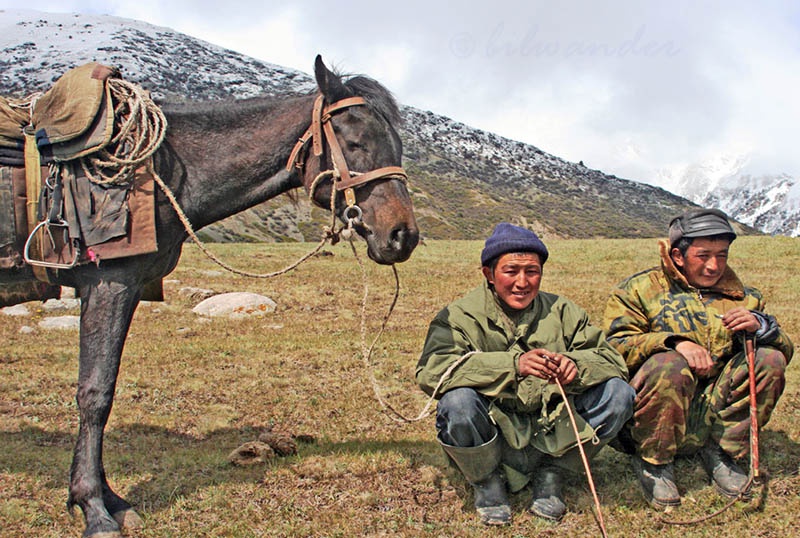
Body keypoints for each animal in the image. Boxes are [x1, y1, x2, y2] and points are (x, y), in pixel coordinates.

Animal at [3, 55, 418, 536]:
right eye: (354, 142)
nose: (403, 235)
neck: (160, 168)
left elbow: (103, 388)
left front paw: (111, 499)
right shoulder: (109, 283)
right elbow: (95, 394)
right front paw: (92, 506)